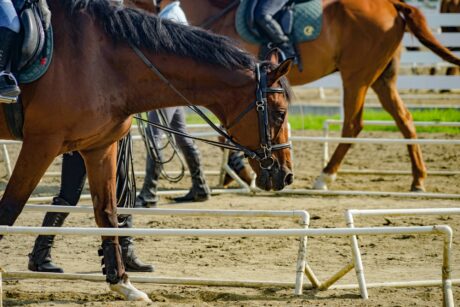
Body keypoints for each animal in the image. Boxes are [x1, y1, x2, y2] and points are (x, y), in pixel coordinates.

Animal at [0, 0, 292, 302]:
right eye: (280, 114)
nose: (286, 174)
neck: (100, 63)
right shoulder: (43, 143)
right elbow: (9, 209)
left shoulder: (98, 147)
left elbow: (107, 212)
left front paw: (123, 283)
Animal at [142, 0, 460, 192]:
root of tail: (392, 4)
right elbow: (229, 132)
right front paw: (237, 174)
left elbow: (229, 132)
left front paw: (240, 173)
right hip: (382, 78)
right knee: (405, 119)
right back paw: (418, 179)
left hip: (356, 76)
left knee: (353, 125)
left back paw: (325, 175)